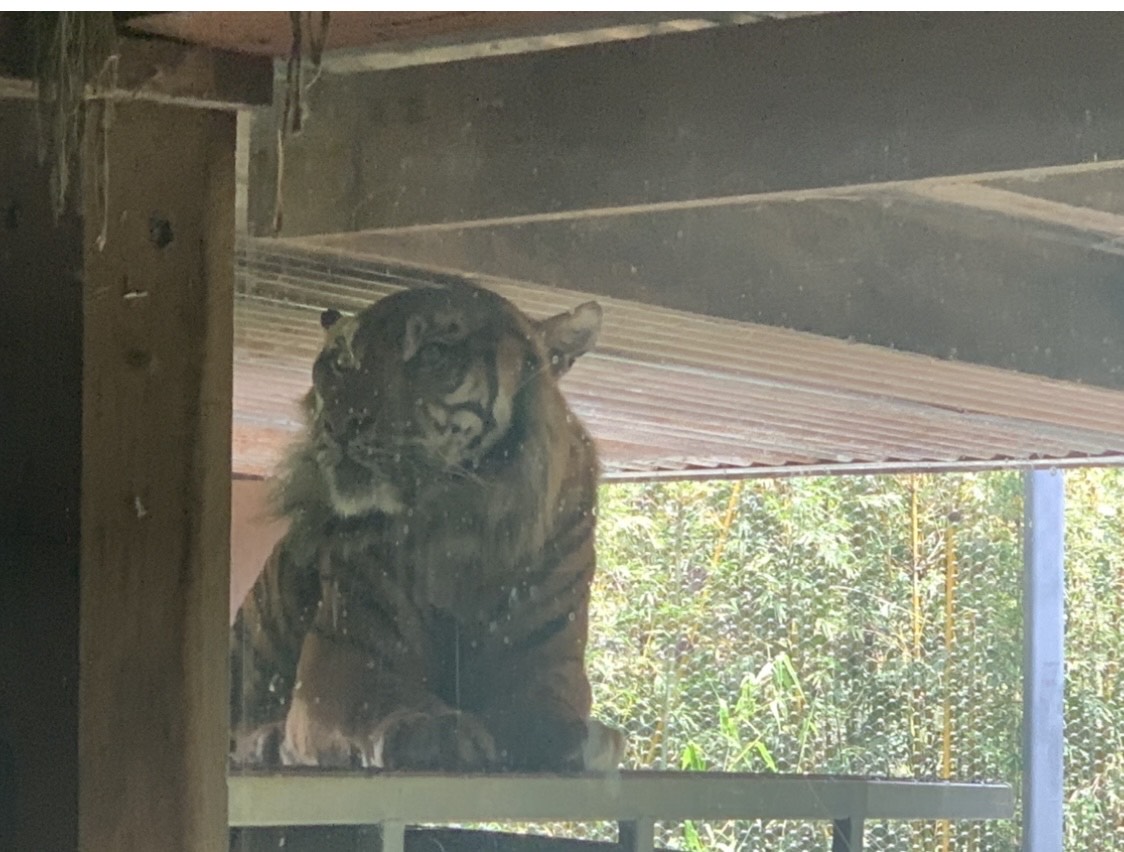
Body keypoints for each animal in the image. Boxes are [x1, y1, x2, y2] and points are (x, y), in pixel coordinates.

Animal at [230, 280, 625, 773]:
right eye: (341, 362)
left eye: (433, 353)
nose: (338, 422)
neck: (461, 526)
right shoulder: (346, 657)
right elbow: (378, 699)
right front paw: (432, 727)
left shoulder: (551, 660)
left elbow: (547, 708)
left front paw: (573, 737)